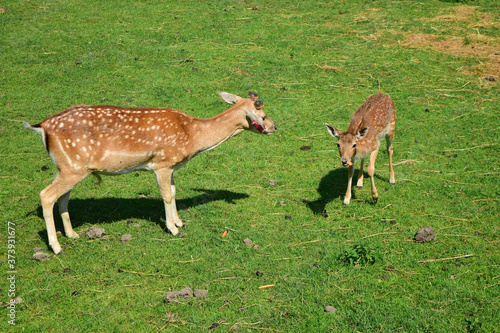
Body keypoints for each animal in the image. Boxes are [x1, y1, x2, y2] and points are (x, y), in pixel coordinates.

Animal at [24, 89, 278, 253]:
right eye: (263, 116)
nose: (275, 126)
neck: (192, 136)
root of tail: (42, 127)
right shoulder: (162, 163)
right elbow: (166, 195)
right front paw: (172, 229)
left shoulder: (172, 165)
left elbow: (174, 192)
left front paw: (180, 222)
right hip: (71, 167)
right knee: (46, 195)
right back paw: (56, 247)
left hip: (71, 167)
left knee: (62, 197)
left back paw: (72, 234)